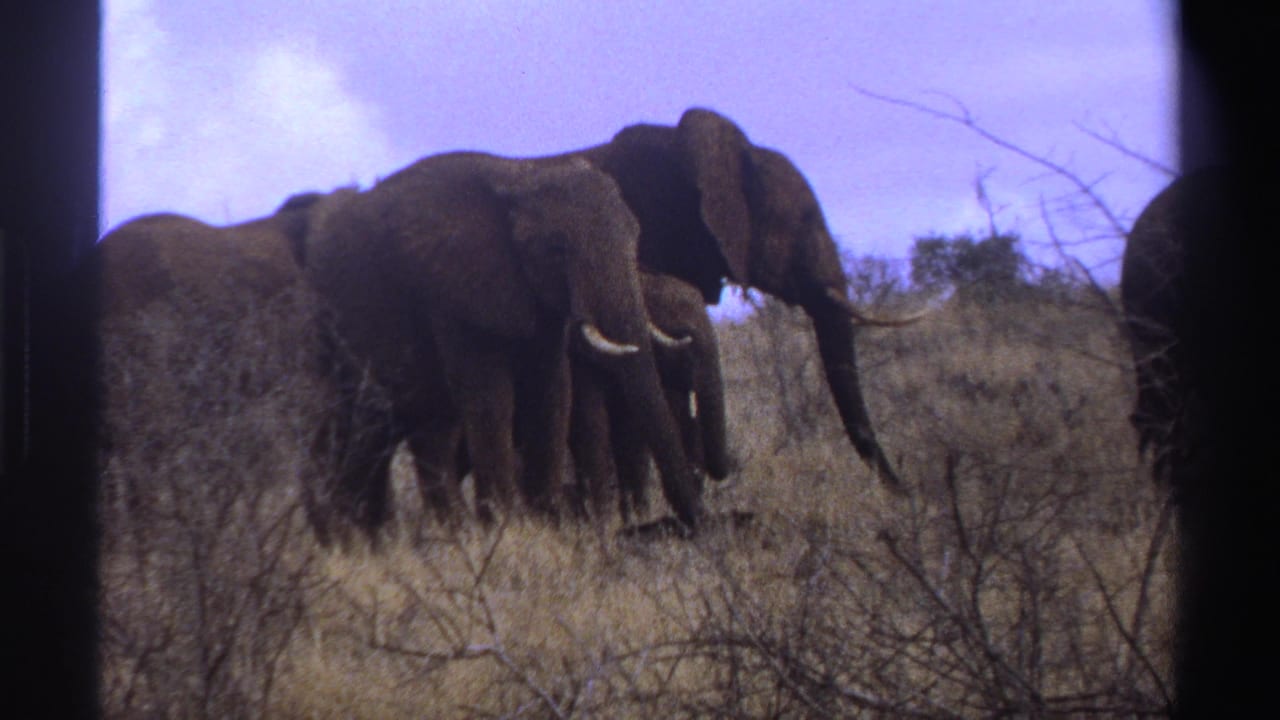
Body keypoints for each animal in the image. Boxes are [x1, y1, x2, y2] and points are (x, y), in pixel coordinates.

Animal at [300, 152, 704, 541]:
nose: (691, 524)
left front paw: (547, 526)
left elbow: (553, 391)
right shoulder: (452, 290)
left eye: (635, 239)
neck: (516, 175)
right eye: (557, 249)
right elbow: (490, 396)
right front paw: (506, 530)